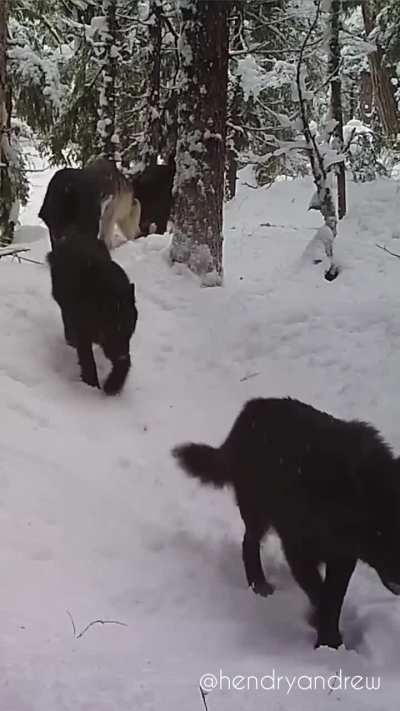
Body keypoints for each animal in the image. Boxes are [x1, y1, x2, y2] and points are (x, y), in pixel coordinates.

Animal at [173, 397, 400, 649]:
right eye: (383, 533)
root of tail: (252, 407)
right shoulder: (298, 549)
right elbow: (320, 594)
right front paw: (326, 639)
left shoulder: (342, 557)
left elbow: (332, 597)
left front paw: (331, 640)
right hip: (256, 510)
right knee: (249, 543)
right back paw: (258, 585)